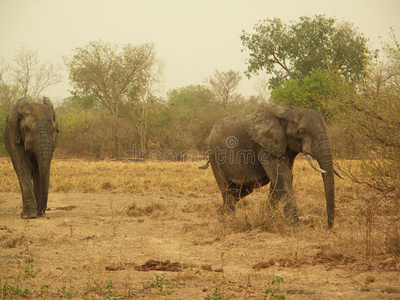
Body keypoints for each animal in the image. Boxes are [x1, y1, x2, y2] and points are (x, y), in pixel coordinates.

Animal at [203, 104, 344, 229]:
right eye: (301, 132)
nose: (328, 227)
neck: (288, 112)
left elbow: (282, 179)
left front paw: (269, 218)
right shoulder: (265, 147)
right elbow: (282, 177)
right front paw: (294, 226)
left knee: (240, 192)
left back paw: (220, 213)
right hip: (215, 155)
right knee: (227, 189)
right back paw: (230, 220)